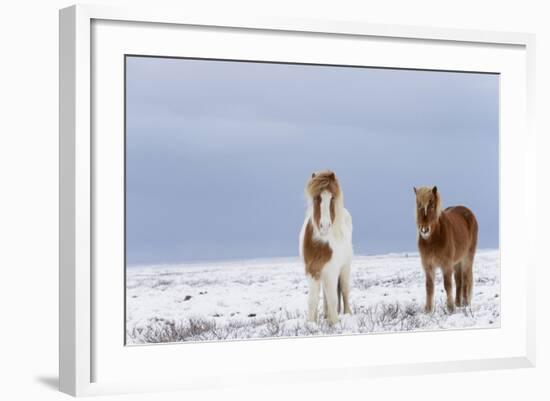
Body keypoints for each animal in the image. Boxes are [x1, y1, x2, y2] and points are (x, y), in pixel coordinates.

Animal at [300, 170, 356, 324]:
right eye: (316, 198)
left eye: (332, 198)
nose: (325, 226)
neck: (321, 243)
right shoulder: (312, 270)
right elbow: (312, 300)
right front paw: (311, 323)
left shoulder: (332, 270)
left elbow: (333, 299)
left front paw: (335, 322)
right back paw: (325, 315)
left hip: (345, 268)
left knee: (344, 291)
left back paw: (347, 314)